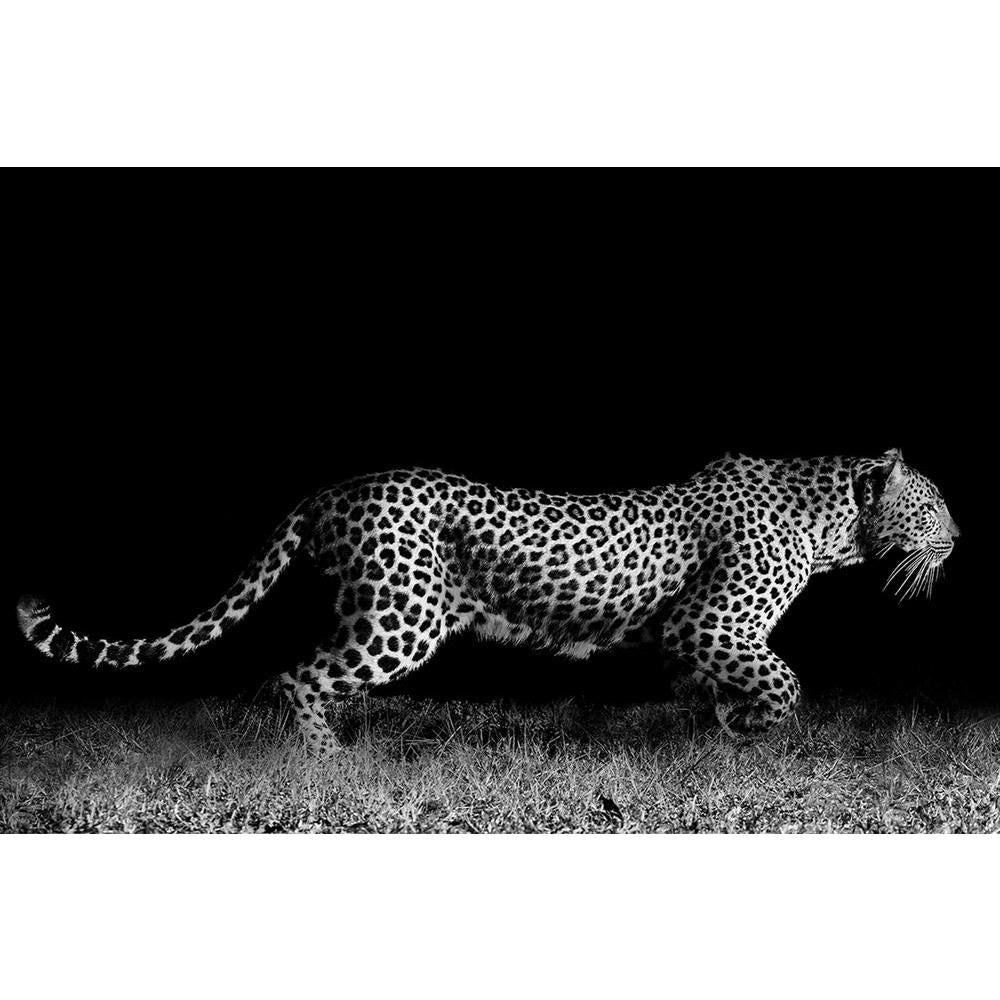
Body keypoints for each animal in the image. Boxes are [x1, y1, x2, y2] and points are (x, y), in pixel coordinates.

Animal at [17, 448, 959, 756]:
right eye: (935, 504)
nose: (962, 535)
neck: (833, 523)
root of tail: (330, 490)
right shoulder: (710, 623)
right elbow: (784, 681)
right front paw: (759, 733)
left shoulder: (687, 639)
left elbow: (717, 689)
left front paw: (723, 736)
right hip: (402, 616)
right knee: (296, 675)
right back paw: (327, 760)